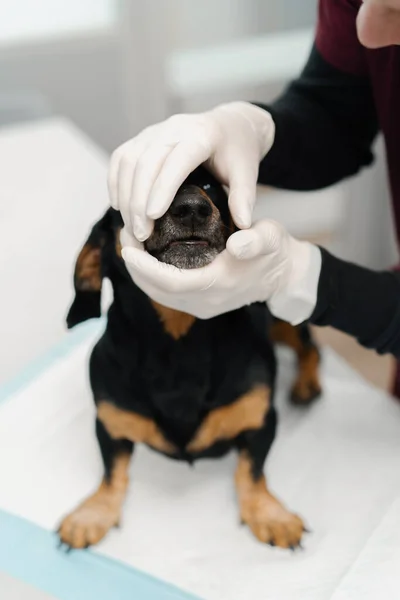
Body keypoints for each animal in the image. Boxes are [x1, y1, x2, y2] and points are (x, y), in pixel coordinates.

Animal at [57, 166, 320, 552]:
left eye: (210, 184)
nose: (192, 208)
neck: (179, 344)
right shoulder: (109, 425)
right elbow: (112, 473)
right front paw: (93, 514)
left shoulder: (261, 420)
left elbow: (251, 471)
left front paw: (270, 514)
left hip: (284, 315)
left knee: (311, 348)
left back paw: (307, 384)